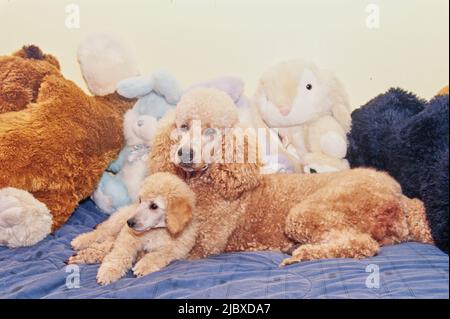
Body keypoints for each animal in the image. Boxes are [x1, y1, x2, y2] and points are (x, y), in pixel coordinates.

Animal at [149, 87, 436, 264]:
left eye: (211, 132)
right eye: (182, 127)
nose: (184, 154)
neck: (209, 182)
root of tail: (397, 193)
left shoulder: (207, 244)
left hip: (307, 213)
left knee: (362, 244)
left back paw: (301, 253)